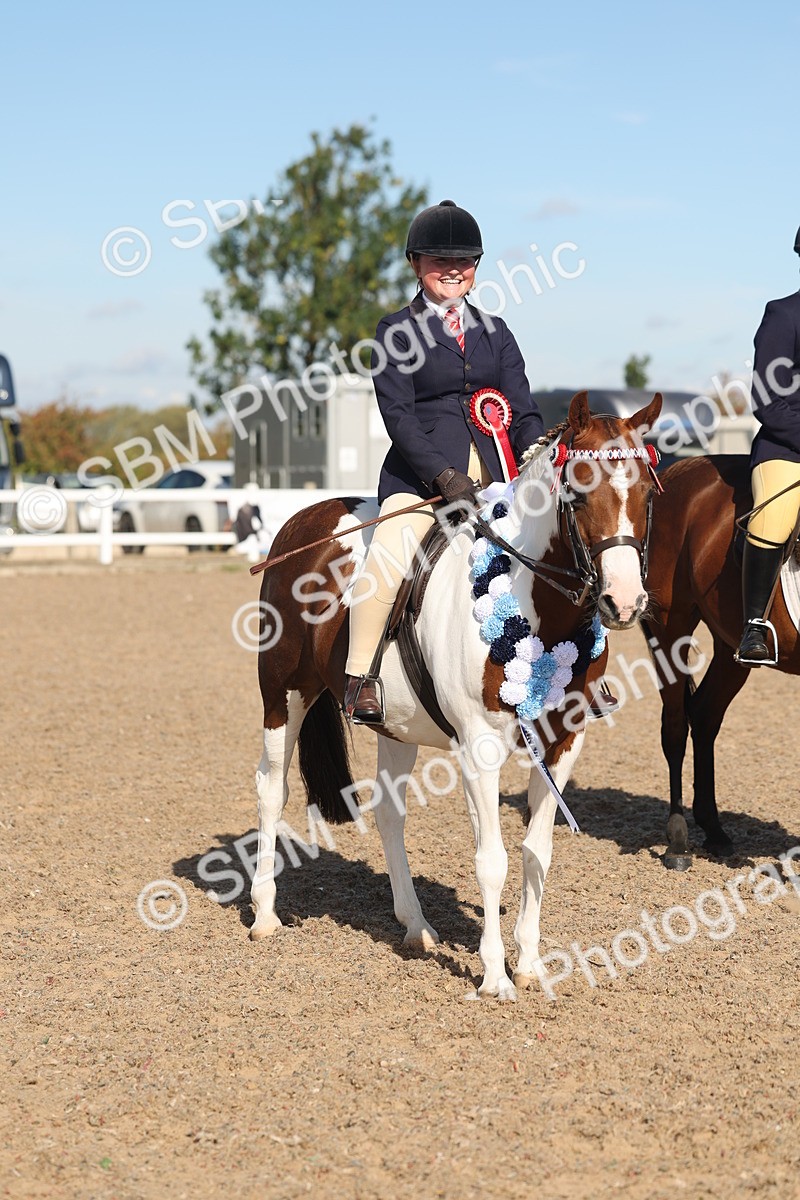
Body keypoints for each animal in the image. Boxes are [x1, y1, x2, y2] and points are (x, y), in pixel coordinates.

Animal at [250, 390, 663, 998]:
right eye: (579, 491)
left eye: (647, 494)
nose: (625, 602)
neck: (537, 602)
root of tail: (303, 521)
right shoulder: (479, 747)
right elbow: (492, 859)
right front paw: (494, 977)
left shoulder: (564, 743)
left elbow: (537, 852)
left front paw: (530, 963)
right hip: (284, 693)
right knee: (272, 789)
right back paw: (264, 914)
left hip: (392, 722)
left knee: (389, 812)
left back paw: (415, 926)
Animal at [642, 453, 800, 869]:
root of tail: (677, 471)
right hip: (670, 628)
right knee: (675, 727)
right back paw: (678, 841)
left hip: (730, 647)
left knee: (704, 715)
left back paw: (713, 830)